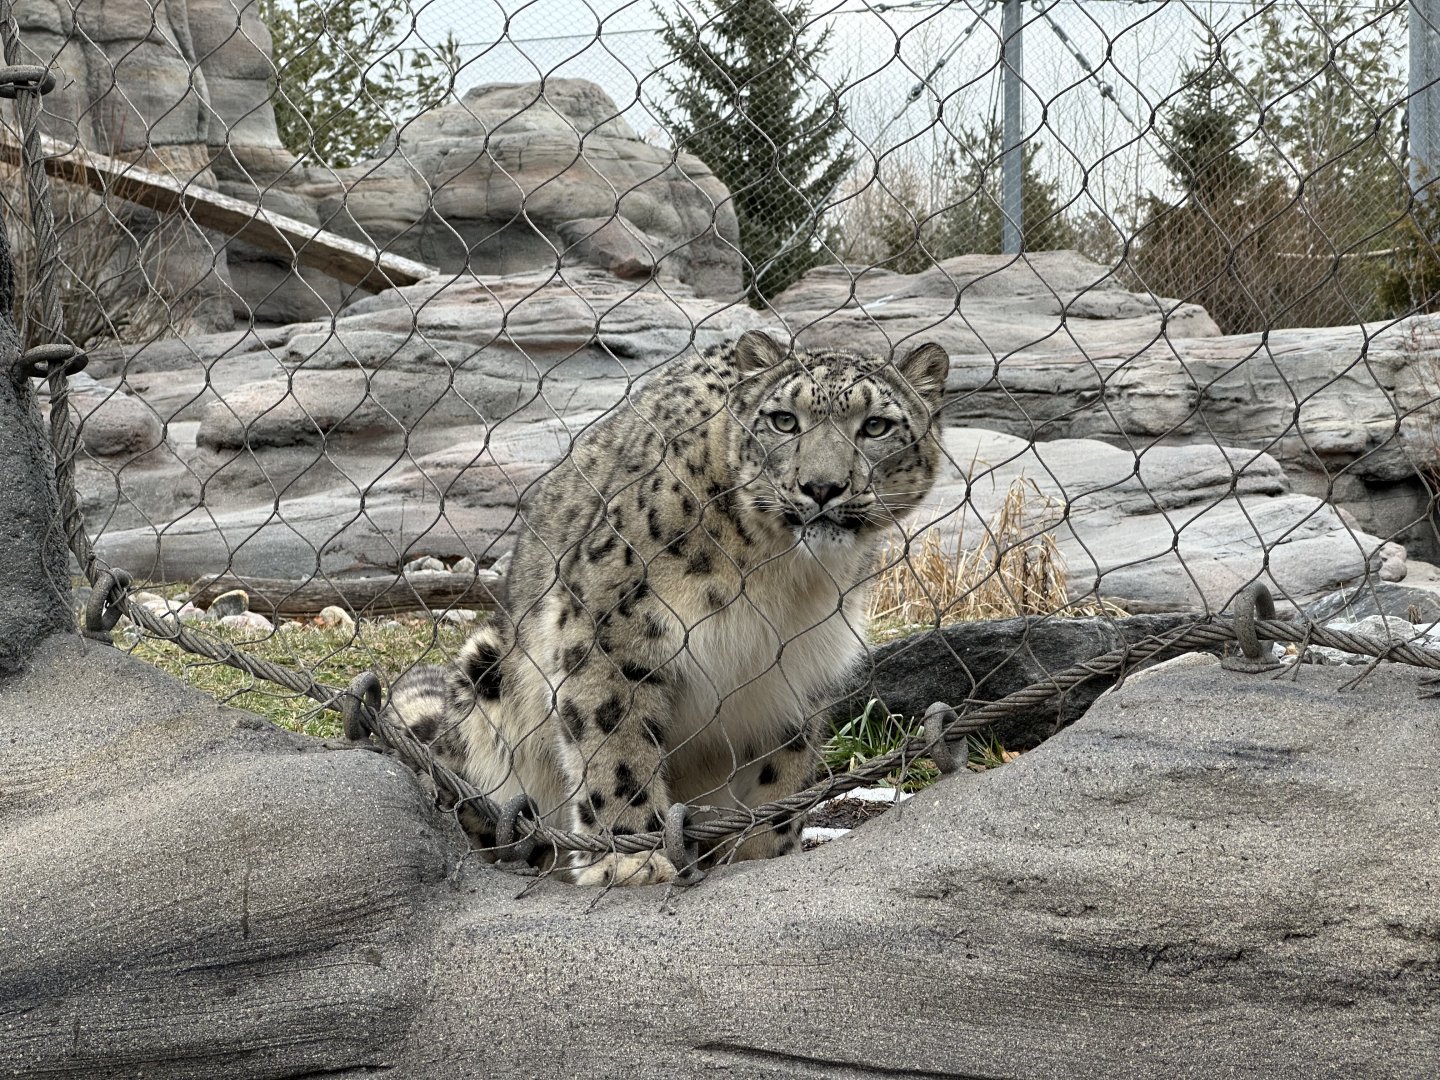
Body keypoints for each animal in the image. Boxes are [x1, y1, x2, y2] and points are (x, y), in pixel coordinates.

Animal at [384, 329, 950, 886]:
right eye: (784, 420)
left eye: (875, 425)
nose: (822, 487)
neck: (782, 577)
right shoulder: (610, 628)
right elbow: (616, 743)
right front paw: (629, 858)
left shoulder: (798, 668)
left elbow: (784, 767)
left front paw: (762, 853)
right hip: (488, 677)